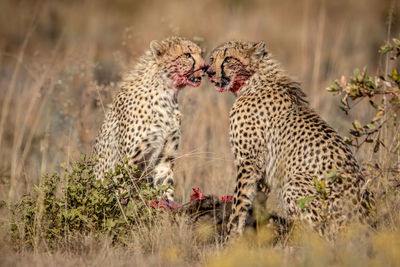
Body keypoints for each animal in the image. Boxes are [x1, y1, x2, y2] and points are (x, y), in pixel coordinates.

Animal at [92, 36, 208, 200]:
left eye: (201, 53)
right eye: (187, 55)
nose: (205, 67)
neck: (167, 94)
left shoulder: (166, 158)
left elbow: (165, 189)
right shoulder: (128, 162)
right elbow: (124, 195)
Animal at [206, 40, 376, 243]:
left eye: (228, 59)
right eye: (212, 59)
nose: (209, 72)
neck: (254, 80)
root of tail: (366, 223)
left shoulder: (248, 161)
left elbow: (240, 202)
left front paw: (230, 239)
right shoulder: (262, 168)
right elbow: (255, 201)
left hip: (294, 184)